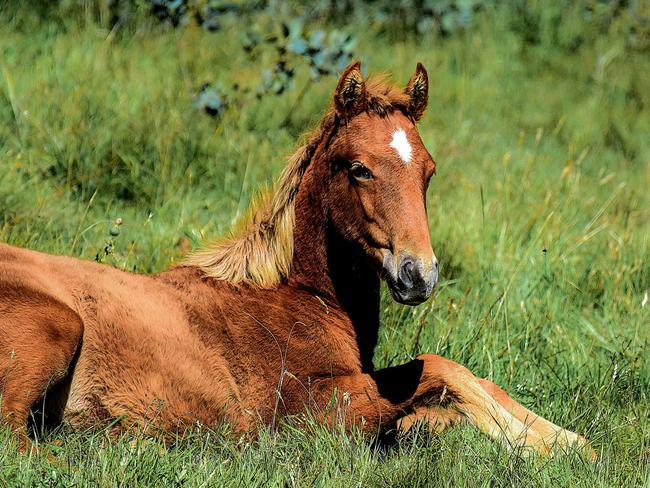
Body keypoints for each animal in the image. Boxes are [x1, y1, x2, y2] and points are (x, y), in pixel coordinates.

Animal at [0, 61, 592, 458]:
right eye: (359, 168)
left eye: (428, 170)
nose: (418, 274)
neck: (294, 300)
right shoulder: (312, 412)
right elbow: (438, 369)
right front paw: (539, 445)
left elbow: (458, 384)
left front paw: (569, 442)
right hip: (58, 326)